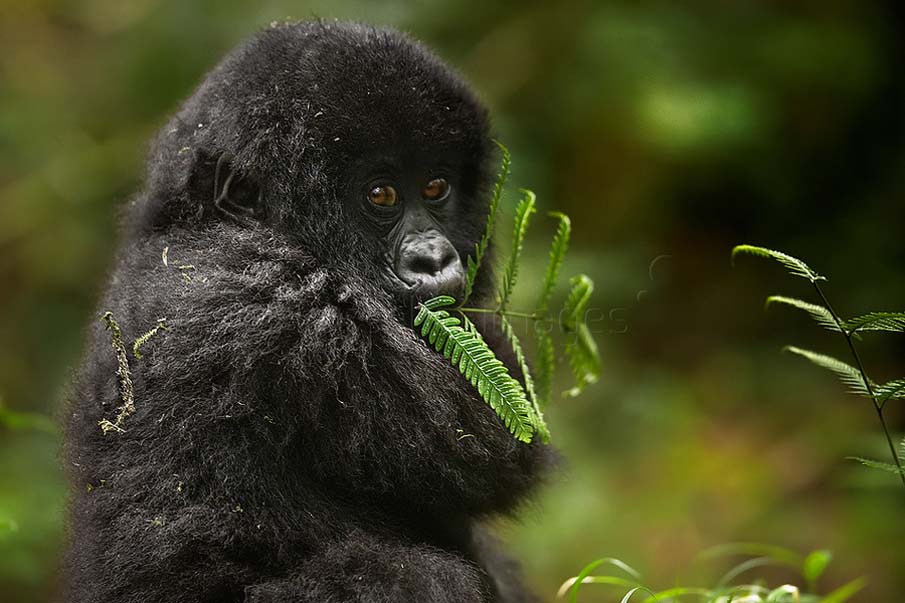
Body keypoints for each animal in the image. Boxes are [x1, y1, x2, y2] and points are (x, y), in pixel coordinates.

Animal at [61, 20, 552, 603]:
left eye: (436, 187)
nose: (434, 259)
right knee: (417, 577)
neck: (199, 223)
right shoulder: (303, 317)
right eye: (381, 195)